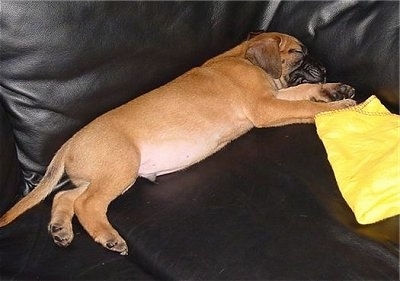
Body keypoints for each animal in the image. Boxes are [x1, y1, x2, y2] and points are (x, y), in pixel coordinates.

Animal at [0, 32, 356, 254]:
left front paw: (334, 90)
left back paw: (60, 229)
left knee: (65, 197)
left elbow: (300, 93)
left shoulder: (273, 98)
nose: (324, 68)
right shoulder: (265, 107)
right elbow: (305, 106)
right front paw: (338, 107)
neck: (243, 57)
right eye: (299, 54)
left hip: (102, 176)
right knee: (86, 204)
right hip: (120, 168)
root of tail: (69, 144)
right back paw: (108, 237)